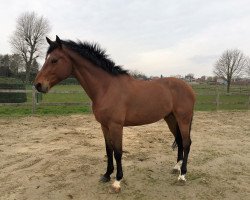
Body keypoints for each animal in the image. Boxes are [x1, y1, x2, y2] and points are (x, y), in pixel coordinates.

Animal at [34, 36, 195, 192]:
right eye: (46, 58)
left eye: (54, 60)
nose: (38, 85)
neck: (106, 88)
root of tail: (188, 87)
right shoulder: (104, 126)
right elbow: (108, 149)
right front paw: (106, 175)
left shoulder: (116, 126)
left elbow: (118, 151)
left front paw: (117, 181)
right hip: (171, 119)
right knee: (180, 141)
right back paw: (176, 167)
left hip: (183, 119)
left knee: (187, 143)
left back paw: (182, 175)